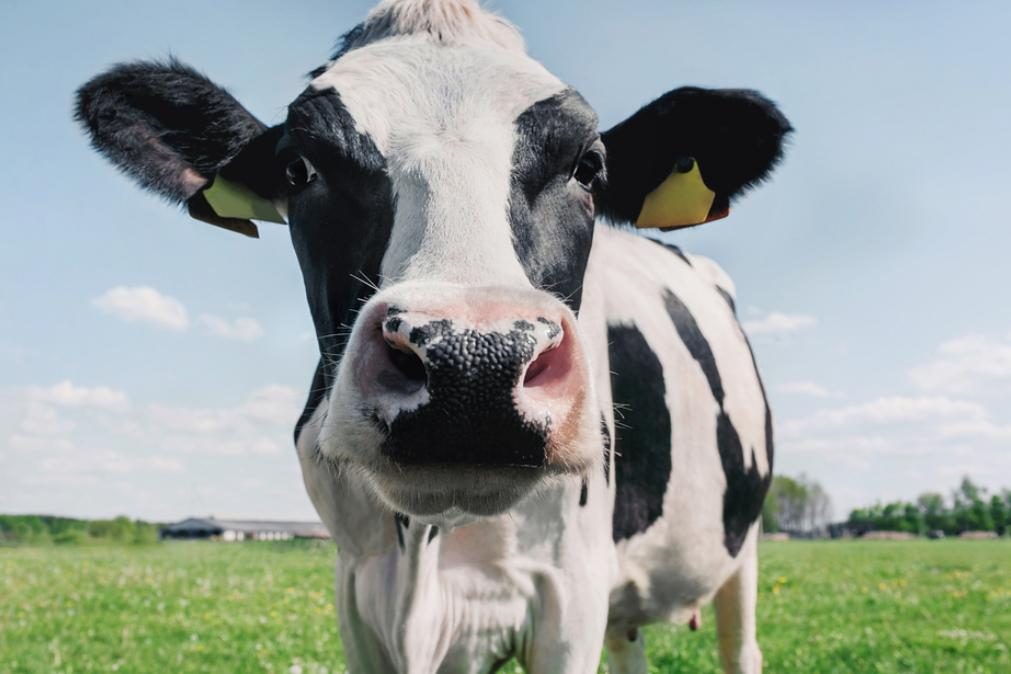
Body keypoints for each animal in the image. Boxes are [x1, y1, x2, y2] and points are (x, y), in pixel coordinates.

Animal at [76, 2, 788, 670]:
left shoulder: (570, 592)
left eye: (588, 167)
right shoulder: (358, 592)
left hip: (741, 546)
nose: (474, 366)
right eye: (299, 168)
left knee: (741, 646)